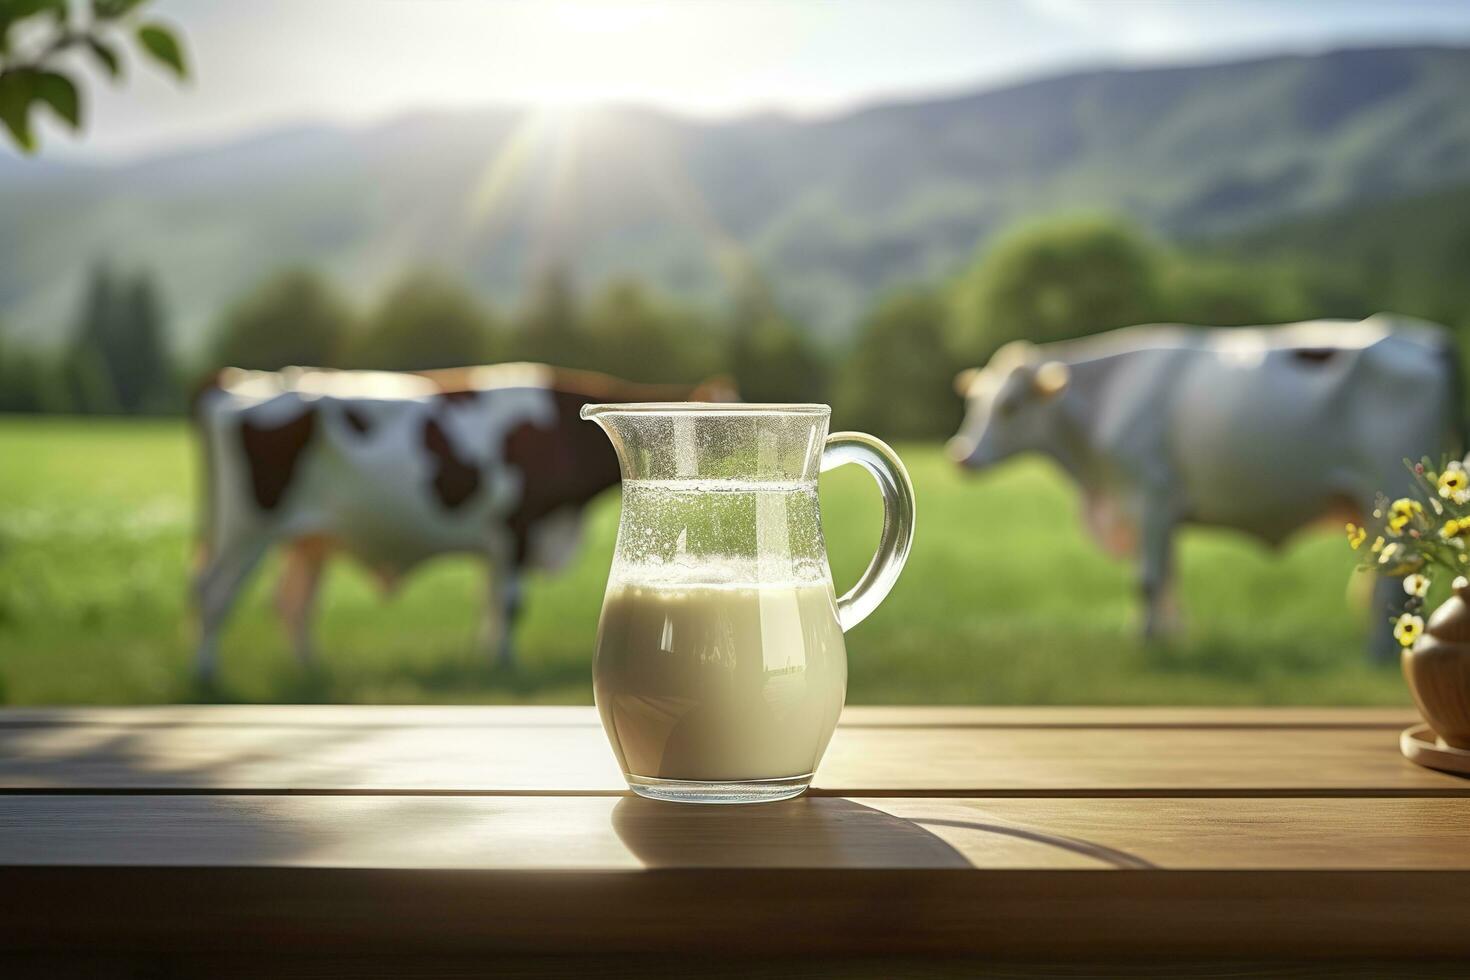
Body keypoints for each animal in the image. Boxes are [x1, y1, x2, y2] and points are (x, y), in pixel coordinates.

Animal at [189, 362, 729, 681]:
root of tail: (238, 380)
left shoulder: (501, 540)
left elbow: (490, 601)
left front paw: (489, 661)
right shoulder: (518, 524)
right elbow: (510, 603)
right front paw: (506, 666)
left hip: (308, 538)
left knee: (292, 602)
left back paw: (310, 673)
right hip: (245, 528)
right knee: (213, 593)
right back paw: (207, 676)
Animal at [946, 314, 1464, 652]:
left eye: (1010, 406)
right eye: (975, 402)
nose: (961, 455)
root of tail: (1427, 338)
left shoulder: (1150, 496)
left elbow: (1148, 580)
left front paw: (1146, 643)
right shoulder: (1157, 511)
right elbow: (1167, 576)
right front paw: (1168, 636)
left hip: (1395, 494)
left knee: (1394, 583)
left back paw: (1378, 654)